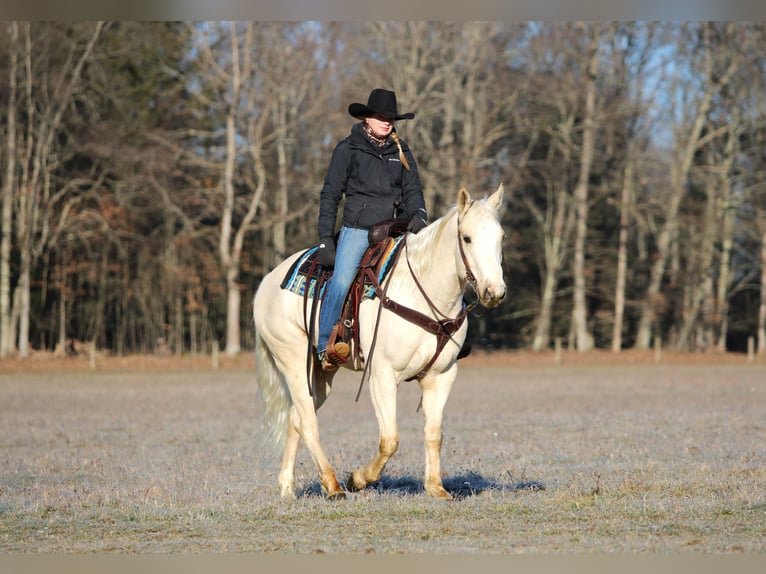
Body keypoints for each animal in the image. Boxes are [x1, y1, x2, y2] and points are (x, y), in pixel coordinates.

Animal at [252, 183, 506, 500]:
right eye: (467, 238)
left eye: (501, 237)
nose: (495, 292)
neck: (424, 293)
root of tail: (267, 283)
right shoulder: (382, 376)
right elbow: (390, 439)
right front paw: (359, 478)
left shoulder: (441, 376)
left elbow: (434, 434)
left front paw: (435, 487)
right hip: (294, 361)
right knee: (308, 422)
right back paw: (333, 485)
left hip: (321, 373)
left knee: (296, 417)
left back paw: (288, 487)